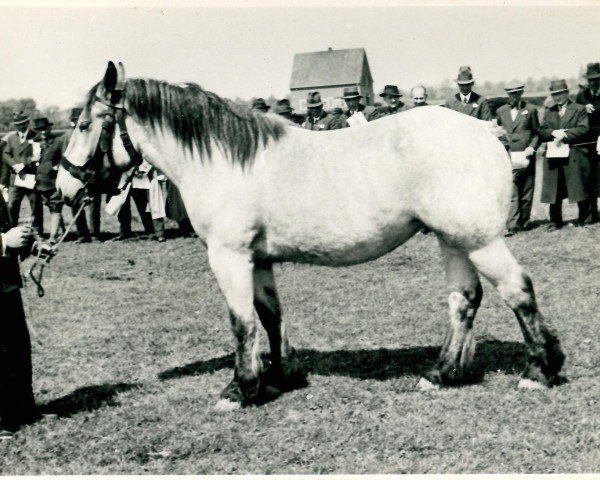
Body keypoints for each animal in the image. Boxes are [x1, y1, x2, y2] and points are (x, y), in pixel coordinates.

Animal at [55, 62, 564, 410]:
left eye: (84, 124)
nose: (63, 188)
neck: (225, 160)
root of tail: (484, 130)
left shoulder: (229, 256)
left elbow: (241, 321)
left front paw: (239, 389)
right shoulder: (258, 259)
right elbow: (269, 315)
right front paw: (280, 377)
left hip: (478, 240)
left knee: (517, 291)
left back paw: (539, 371)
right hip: (452, 239)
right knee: (464, 299)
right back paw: (441, 374)